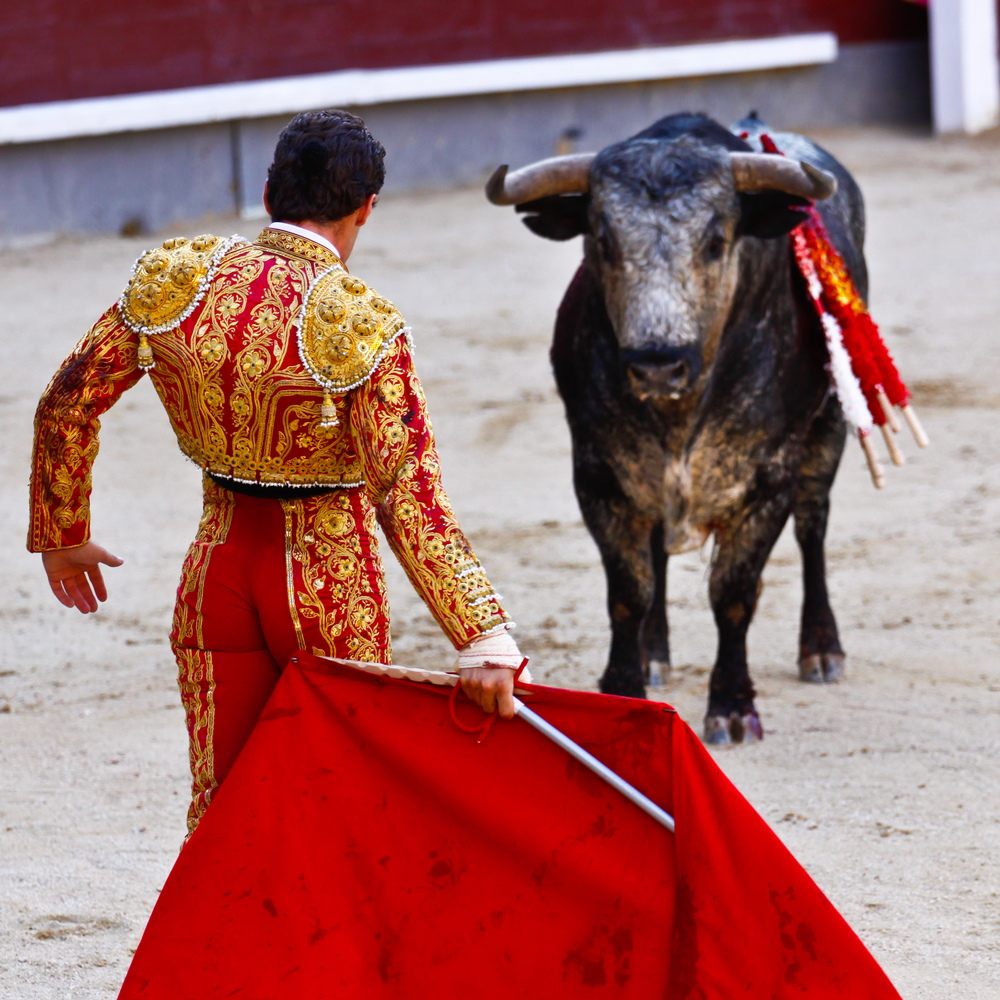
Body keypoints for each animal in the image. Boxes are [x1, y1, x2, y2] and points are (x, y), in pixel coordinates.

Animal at [486, 115, 868, 744]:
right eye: (604, 241)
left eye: (715, 241)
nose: (657, 363)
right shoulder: (598, 474)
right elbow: (629, 592)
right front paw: (624, 685)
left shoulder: (768, 481)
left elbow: (733, 596)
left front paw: (733, 706)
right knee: (659, 554)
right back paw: (654, 655)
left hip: (831, 425)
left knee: (813, 527)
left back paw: (822, 649)